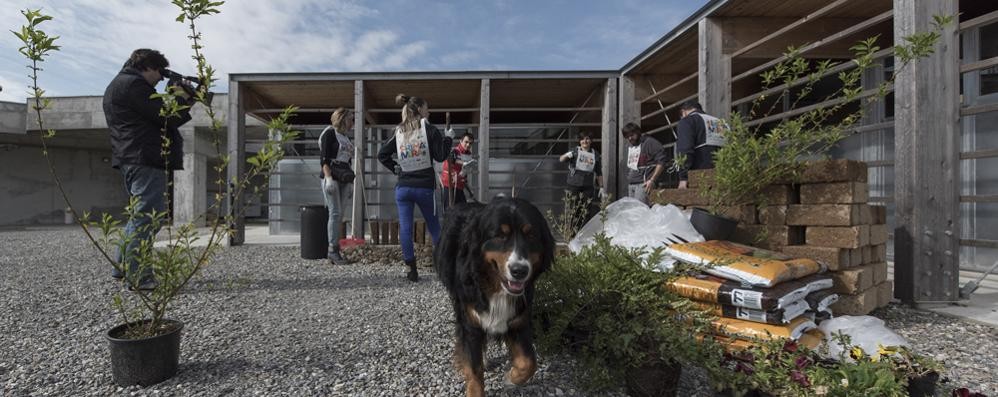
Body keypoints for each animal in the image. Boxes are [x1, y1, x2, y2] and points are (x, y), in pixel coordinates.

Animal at [434, 196, 560, 394]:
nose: (519, 271)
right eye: (500, 235)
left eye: (531, 235)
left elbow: (529, 362)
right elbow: (474, 369)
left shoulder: (518, 319)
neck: (496, 288)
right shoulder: (470, 320)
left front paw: (511, 378)